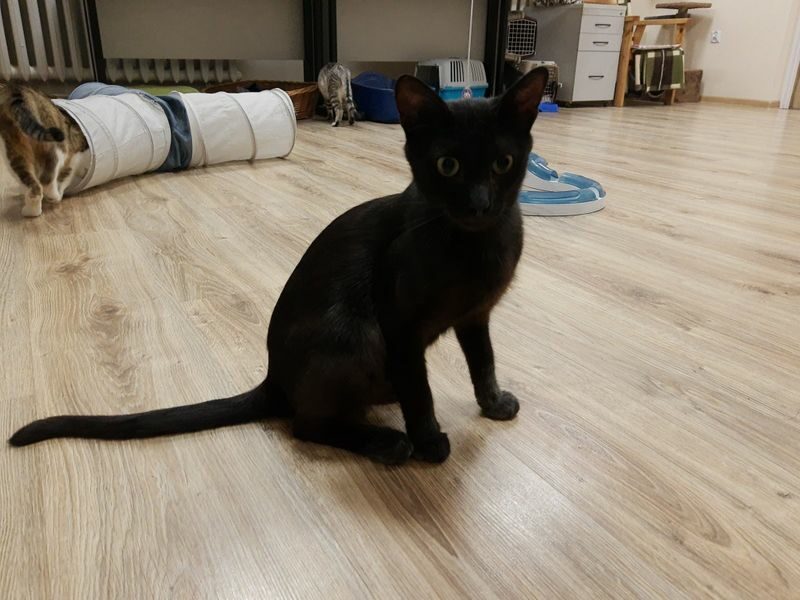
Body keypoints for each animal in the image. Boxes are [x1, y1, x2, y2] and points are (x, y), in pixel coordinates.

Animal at [0, 84, 88, 217]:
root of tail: (16, 88)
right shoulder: (75, 156)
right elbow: (66, 176)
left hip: (13, 149)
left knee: (34, 186)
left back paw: (31, 211)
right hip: (56, 143)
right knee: (47, 178)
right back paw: (52, 197)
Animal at [9, 68, 550, 465]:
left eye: (502, 164)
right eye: (447, 166)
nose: (480, 204)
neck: (475, 245)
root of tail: (274, 378)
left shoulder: (475, 317)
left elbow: (483, 362)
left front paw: (493, 404)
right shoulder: (400, 326)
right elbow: (421, 394)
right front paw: (429, 441)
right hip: (355, 333)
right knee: (307, 424)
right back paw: (387, 442)